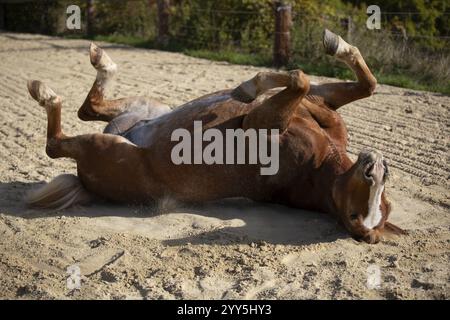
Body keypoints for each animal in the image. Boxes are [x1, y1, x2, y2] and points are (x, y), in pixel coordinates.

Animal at [25, 30, 408, 245]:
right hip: (146, 108)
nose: (375, 168)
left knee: (56, 142)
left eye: (359, 217)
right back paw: (99, 59)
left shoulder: (259, 120)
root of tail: (85, 181)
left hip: (107, 147)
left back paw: (45, 92)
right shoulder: (318, 100)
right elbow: (364, 84)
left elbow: (298, 80)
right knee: (89, 108)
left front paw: (247, 87)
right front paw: (335, 44)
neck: (318, 165)